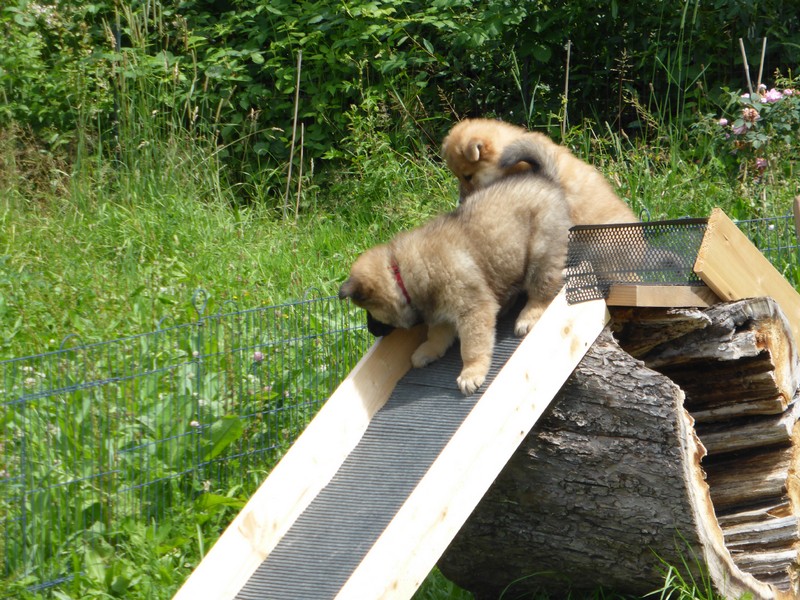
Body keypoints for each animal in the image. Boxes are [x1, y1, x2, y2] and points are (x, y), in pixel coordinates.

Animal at [339, 141, 571, 395]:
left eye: (369, 312)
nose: (371, 331)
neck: (400, 273)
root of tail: (546, 179)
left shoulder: (472, 309)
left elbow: (471, 346)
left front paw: (471, 372)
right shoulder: (441, 312)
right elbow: (436, 335)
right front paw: (427, 351)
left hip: (541, 250)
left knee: (541, 290)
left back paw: (527, 316)